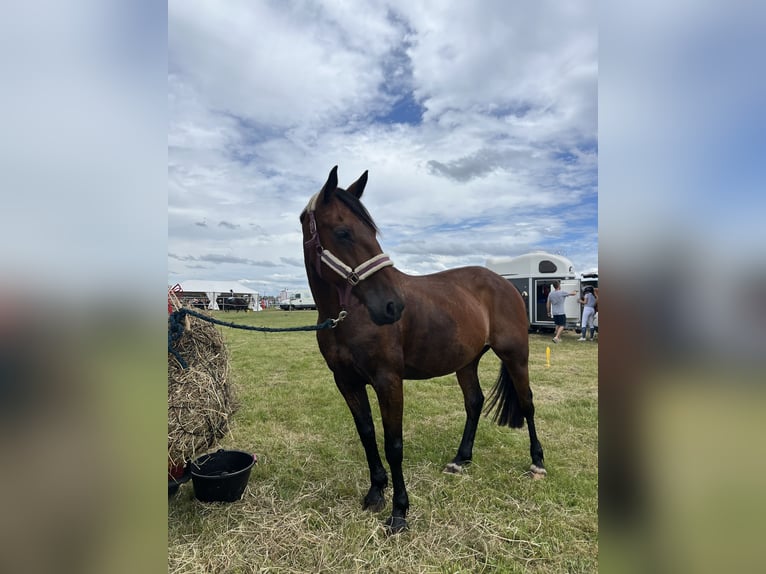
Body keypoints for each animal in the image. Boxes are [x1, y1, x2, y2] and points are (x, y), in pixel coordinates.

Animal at [300, 166, 544, 536]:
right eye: (343, 232)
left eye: (372, 232)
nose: (392, 306)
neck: (349, 315)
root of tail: (506, 284)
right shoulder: (346, 382)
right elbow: (367, 435)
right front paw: (375, 492)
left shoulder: (389, 381)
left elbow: (393, 444)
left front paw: (399, 512)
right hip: (467, 361)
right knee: (474, 402)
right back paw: (460, 459)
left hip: (516, 355)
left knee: (527, 402)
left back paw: (537, 462)